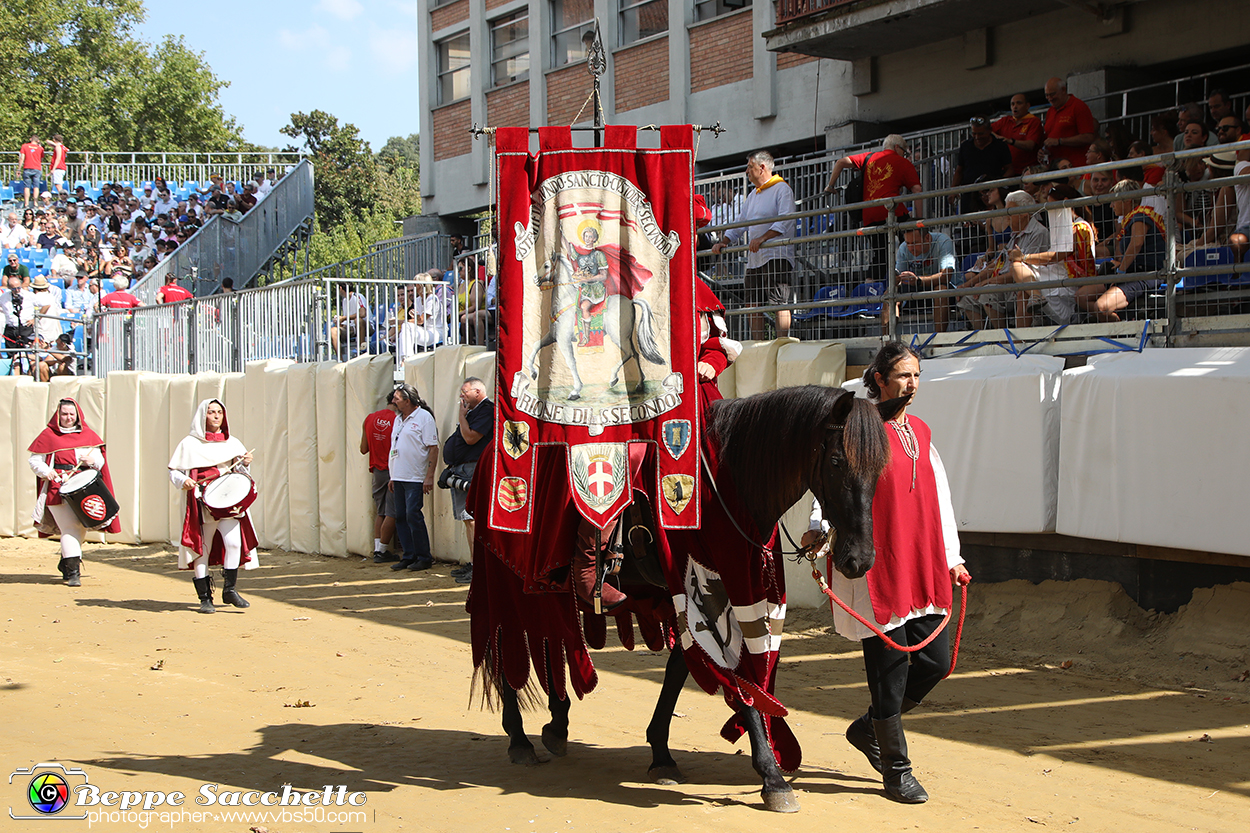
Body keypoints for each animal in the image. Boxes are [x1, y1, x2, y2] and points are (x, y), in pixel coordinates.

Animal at [470, 387, 900, 810]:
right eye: (836, 462)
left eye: (880, 468)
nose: (859, 559)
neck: (728, 490)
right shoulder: (713, 591)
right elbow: (739, 677)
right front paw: (773, 777)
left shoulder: (711, 596)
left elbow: (682, 668)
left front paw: (661, 753)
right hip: (506, 580)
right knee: (507, 642)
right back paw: (519, 739)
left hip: (552, 592)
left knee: (554, 640)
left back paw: (557, 724)